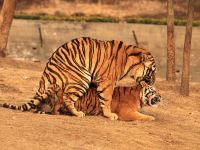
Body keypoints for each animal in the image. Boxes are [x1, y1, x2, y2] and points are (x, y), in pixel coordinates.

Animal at [0, 37, 156, 120]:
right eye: (152, 71)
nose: (154, 81)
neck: (130, 62)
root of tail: (47, 72)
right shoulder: (107, 82)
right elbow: (107, 99)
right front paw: (109, 115)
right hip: (82, 78)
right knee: (67, 98)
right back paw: (77, 113)